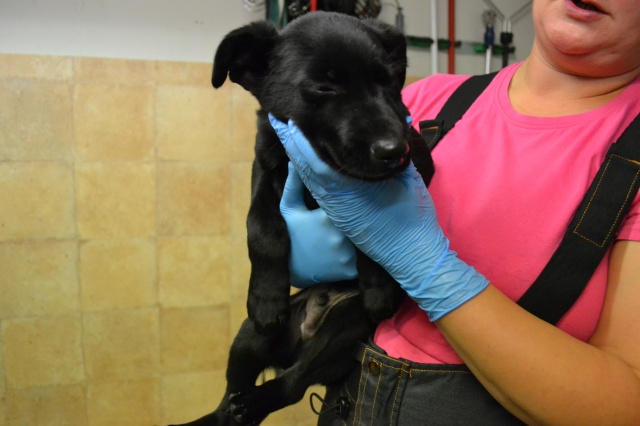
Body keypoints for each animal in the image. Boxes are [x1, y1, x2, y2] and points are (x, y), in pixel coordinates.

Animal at [171, 11, 434, 425]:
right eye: (324, 87)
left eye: (390, 81)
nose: (393, 151)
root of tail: (300, 339)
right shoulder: (264, 172)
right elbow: (261, 229)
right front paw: (266, 296)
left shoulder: (419, 160)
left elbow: (374, 229)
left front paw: (378, 286)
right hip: (247, 338)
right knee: (230, 397)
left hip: (344, 327)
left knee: (292, 384)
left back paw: (256, 402)